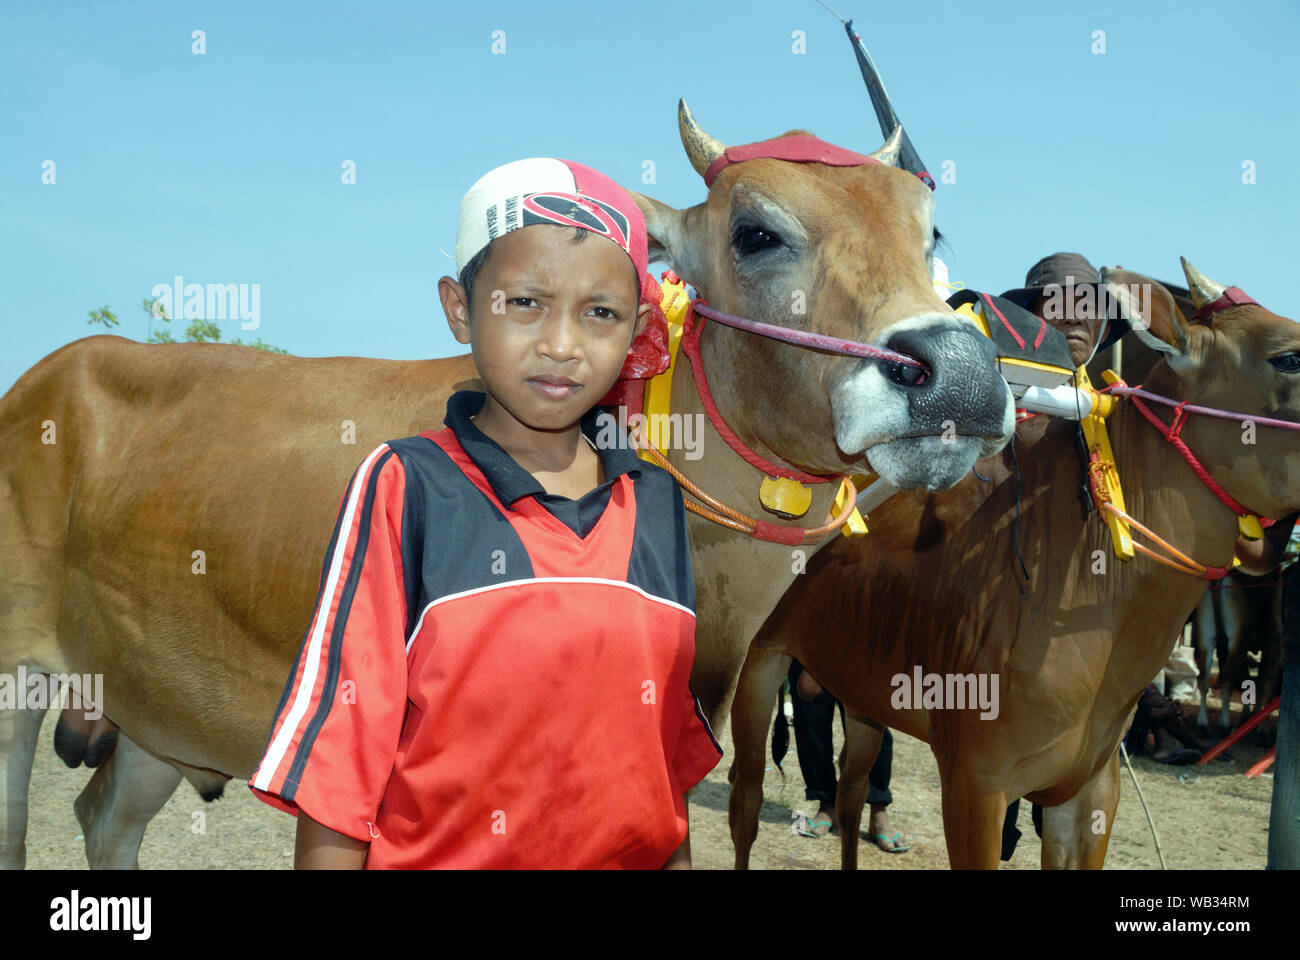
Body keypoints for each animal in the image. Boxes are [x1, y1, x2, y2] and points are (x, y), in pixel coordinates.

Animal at [0, 102, 1013, 868]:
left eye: (928, 231)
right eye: (757, 232)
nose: (957, 374)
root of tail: (48, 375)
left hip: (154, 703)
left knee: (104, 816)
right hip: (19, 681)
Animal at [733, 260, 1300, 868]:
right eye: (1289, 357)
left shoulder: (1091, 789)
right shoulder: (976, 782)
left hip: (858, 692)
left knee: (852, 790)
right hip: (758, 663)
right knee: (747, 802)